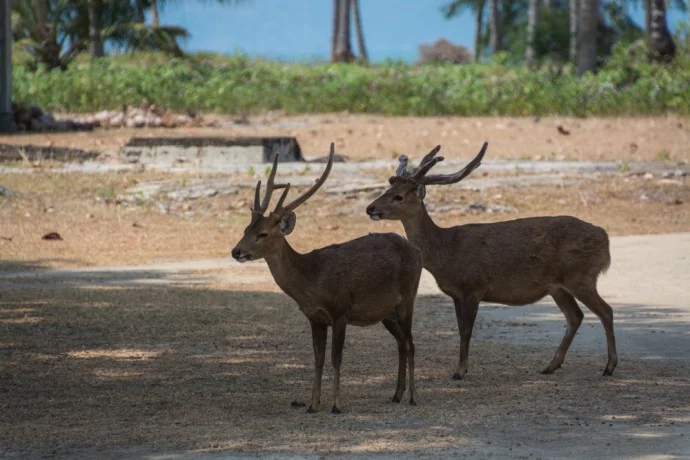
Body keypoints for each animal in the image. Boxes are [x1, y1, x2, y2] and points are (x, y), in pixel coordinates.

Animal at [231, 143, 423, 413]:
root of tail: (417, 251)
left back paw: (414, 397)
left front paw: (336, 405)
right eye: (246, 229)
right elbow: (318, 359)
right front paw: (312, 404)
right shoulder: (315, 318)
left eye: (263, 234)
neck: (312, 280)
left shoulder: (340, 311)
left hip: (408, 297)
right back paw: (396, 394)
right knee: (401, 344)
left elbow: (336, 358)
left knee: (411, 343)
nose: (236, 251)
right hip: (387, 312)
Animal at [366, 142, 618, 380]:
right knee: (575, 316)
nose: (370, 208)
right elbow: (460, 329)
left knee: (606, 310)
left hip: (580, 276)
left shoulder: (473, 287)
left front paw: (459, 371)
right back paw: (550, 366)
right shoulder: (456, 293)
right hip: (558, 286)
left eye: (398, 196)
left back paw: (609, 367)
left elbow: (466, 331)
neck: (446, 252)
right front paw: (461, 369)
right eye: (388, 189)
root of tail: (605, 239)